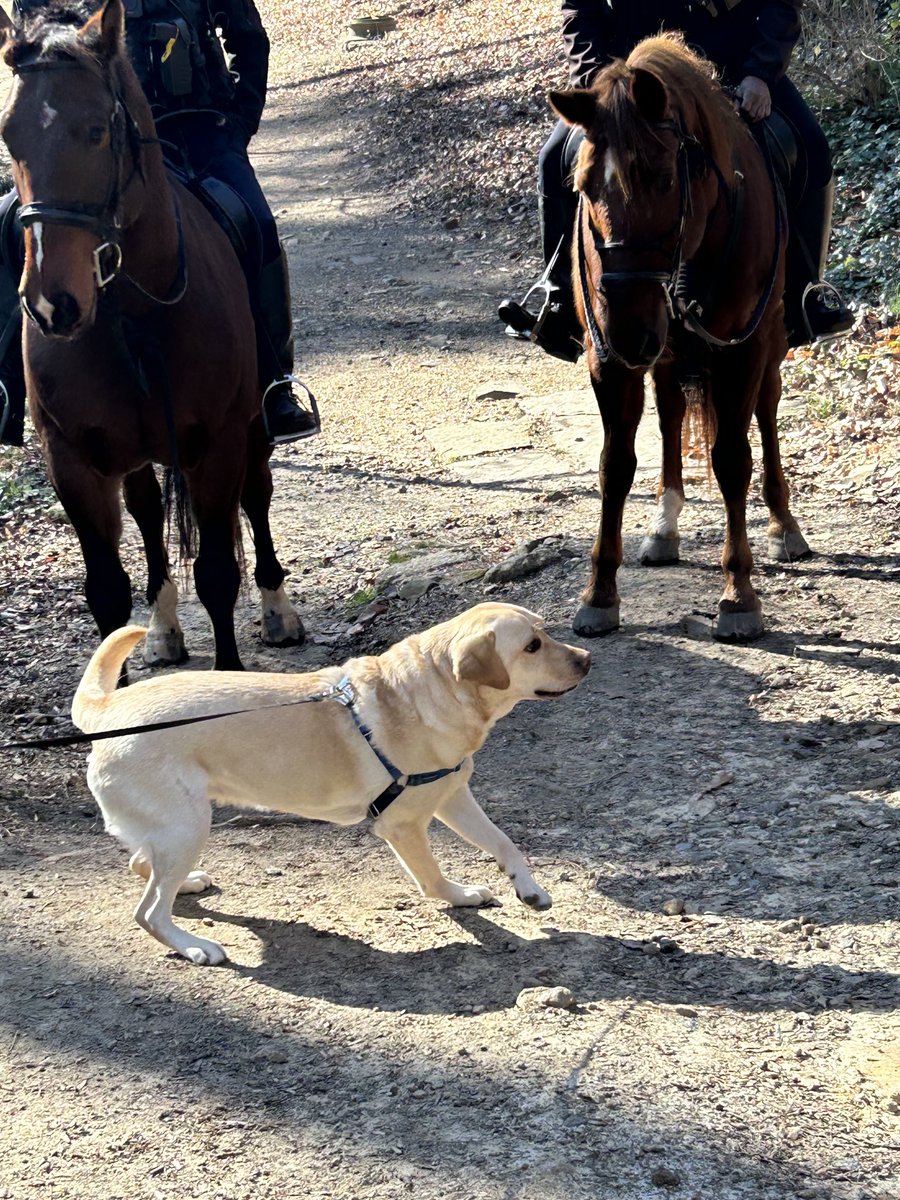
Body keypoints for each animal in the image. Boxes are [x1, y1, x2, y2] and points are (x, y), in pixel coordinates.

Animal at [0, 0, 303, 676]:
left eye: (96, 131)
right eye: (8, 135)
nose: (53, 303)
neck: (131, 315)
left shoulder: (218, 442)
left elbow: (217, 573)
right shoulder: (74, 462)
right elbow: (107, 593)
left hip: (252, 425)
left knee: (258, 496)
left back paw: (277, 609)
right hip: (131, 452)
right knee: (145, 512)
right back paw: (163, 627)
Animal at [74, 600, 595, 964]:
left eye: (545, 631)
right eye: (531, 646)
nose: (588, 658)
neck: (429, 693)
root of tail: (106, 712)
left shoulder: (453, 797)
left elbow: (505, 842)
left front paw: (529, 889)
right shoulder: (404, 825)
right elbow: (431, 878)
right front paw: (460, 896)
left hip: (176, 829)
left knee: (141, 865)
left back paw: (186, 885)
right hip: (188, 826)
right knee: (147, 911)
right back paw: (194, 945)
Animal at [549, 32, 811, 643]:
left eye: (666, 179)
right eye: (584, 185)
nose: (628, 328)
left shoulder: (742, 349)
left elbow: (732, 460)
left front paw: (738, 596)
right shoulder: (608, 358)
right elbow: (614, 465)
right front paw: (599, 592)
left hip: (765, 342)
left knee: (766, 410)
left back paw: (783, 524)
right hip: (662, 351)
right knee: (669, 412)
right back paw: (665, 525)